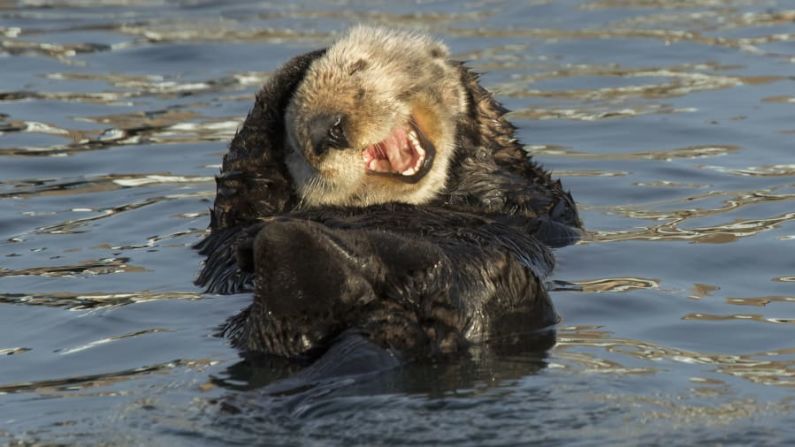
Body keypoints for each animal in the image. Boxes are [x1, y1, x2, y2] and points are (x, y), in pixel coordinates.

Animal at [197, 26, 584, 364]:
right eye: (297, 147)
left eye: (358, 69)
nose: (328, 130)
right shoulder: (242, 208)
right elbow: (243, 182)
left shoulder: (536, 197)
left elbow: (509, 183)